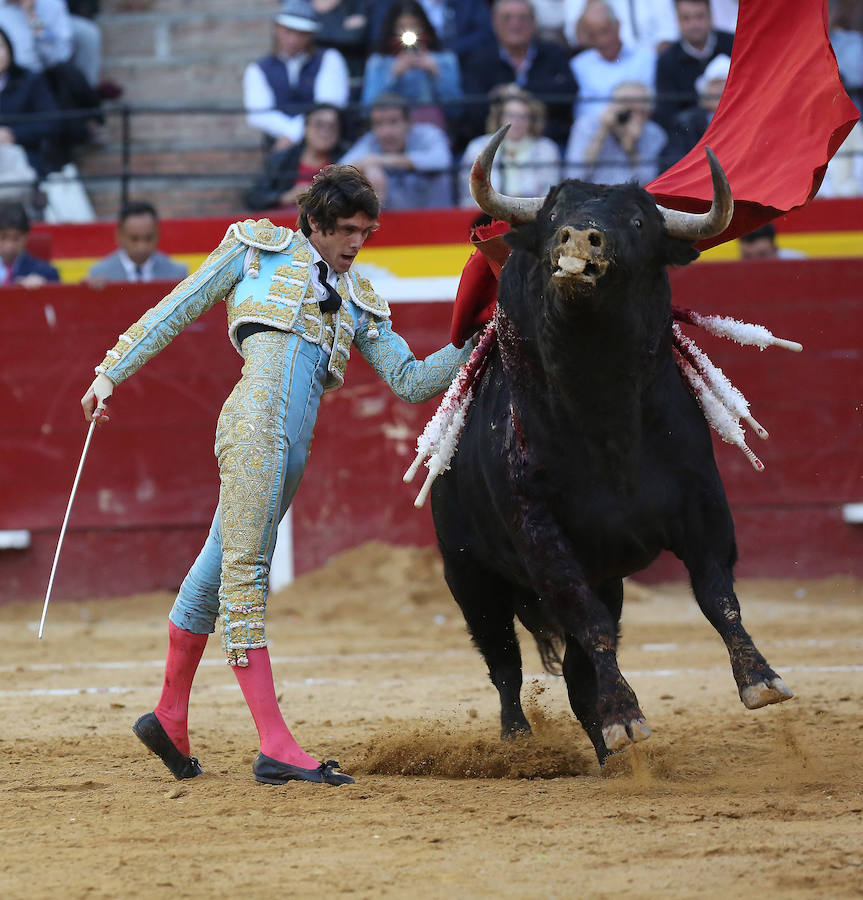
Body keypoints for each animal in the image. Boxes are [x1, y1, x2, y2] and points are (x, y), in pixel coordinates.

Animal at [432, 126, 796, 764]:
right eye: (554, 214)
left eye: (638, 220)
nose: (579, 235)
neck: (602, 414)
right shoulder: (542, 536)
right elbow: (588, 621)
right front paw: (627, 717)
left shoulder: (702, 508)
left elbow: (717, 594)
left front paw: (761, 679)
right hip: (467, 573)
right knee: (505, 663)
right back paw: (519, 741)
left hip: (606, 575)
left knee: (577, 674)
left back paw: (607, 752)